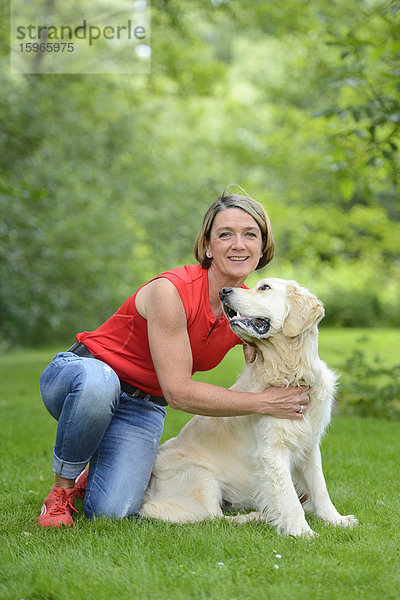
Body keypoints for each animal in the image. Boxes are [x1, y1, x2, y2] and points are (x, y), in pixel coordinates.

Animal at [140, 278, 356, 536]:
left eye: (264, 287)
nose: (223, 291)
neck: (289, 373)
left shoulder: (309, 445)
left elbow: (319, 487)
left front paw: (335, 519)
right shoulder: (271, 450)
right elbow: (288, 496)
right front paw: (301, 531)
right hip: (201, 476)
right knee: (212, 517)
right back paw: (254, 517)